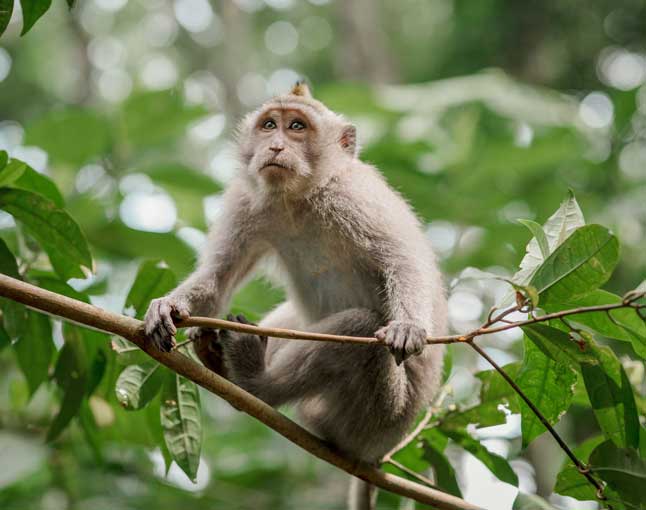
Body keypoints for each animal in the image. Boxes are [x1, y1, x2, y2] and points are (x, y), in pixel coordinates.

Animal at [144, 81, 448, 508]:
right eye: (270, 125)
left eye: (297, 127)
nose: (274, 146)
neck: (301, 197)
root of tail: (376, 454)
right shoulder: (246, 199)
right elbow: (216, 279)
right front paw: (169, 308)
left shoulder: (354, 195)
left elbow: (403, 261)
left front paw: (408, 326)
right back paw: (217, 357)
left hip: (371, 417)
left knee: (360, 328)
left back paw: (256, 382)